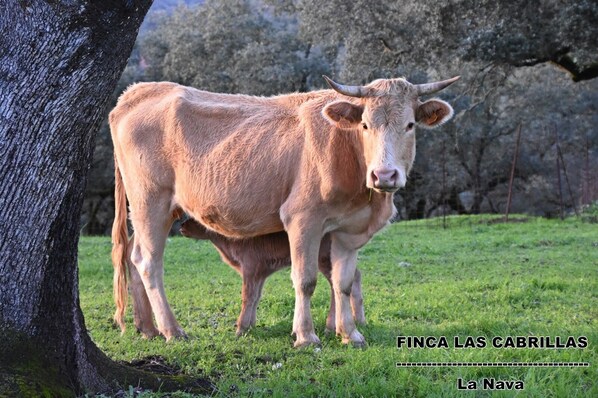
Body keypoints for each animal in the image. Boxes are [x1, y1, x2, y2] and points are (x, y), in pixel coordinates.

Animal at [178, 218, 366, 336]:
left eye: (195, 218)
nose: (181, 227)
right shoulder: (260, 272)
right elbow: (255, 297)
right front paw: (251, 325)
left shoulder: (250, 267)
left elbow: (247, 296)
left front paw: (241, 329)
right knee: (354, 276)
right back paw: (359, 320)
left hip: (324, 259)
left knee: (339, 284)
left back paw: (331, 326)